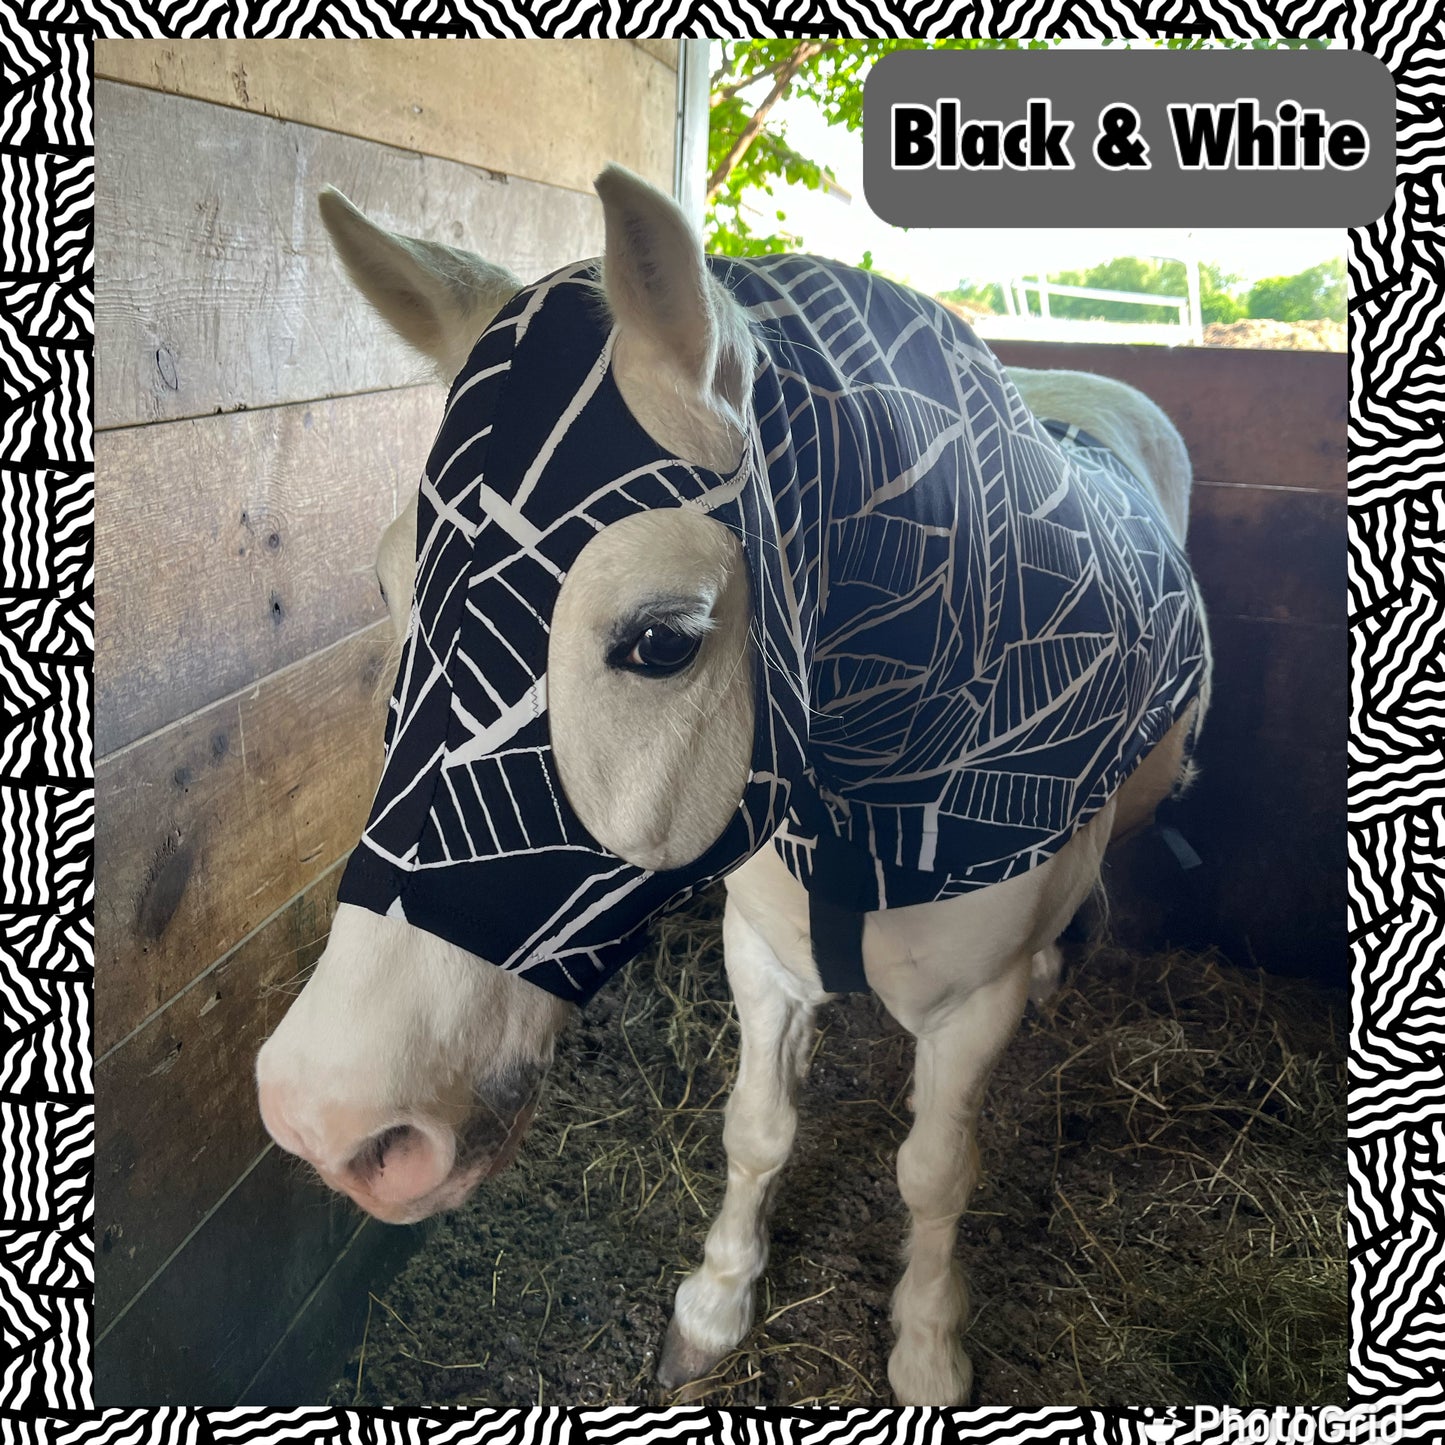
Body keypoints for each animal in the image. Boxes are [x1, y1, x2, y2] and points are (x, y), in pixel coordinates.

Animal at [256, 163, 1211, 1406]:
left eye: (663, 639)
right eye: (385, 586)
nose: (326, 1117)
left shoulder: (969, 1009)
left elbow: (935, 1169)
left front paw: (925, 1343)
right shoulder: (758, 959)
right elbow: (756, 1128)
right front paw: (714, 1303)